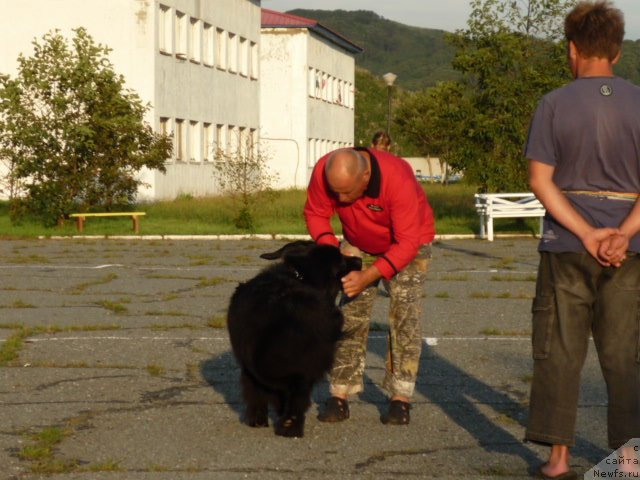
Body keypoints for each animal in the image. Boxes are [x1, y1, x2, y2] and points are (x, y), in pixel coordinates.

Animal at [228, 242, 362, 436]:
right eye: (341, 262)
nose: (359, 260)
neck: (302, 277)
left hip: (249, 363)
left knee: (255, 391)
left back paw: (259, 420)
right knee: (297, 395)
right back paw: (291, 426)